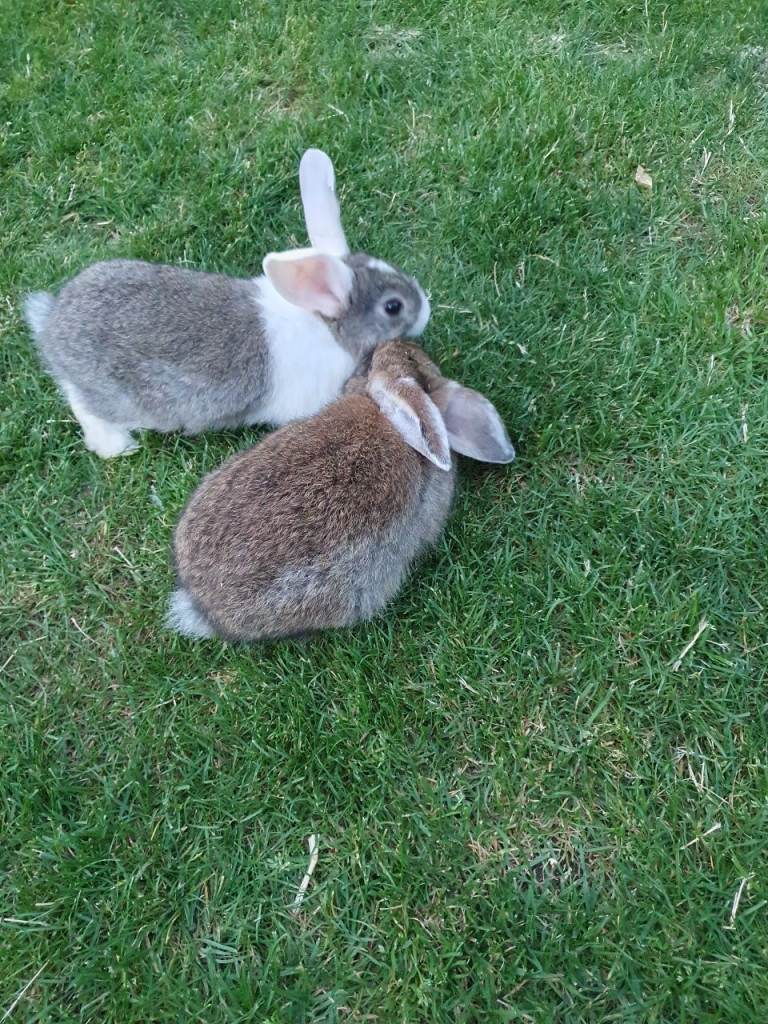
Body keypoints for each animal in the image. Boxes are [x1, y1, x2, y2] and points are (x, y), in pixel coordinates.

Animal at [23, 150, 431, 458]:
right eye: (393, 307)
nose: (426, 309)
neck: (327, 326)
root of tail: (53, 326)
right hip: (115, 398)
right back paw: (117, 446)